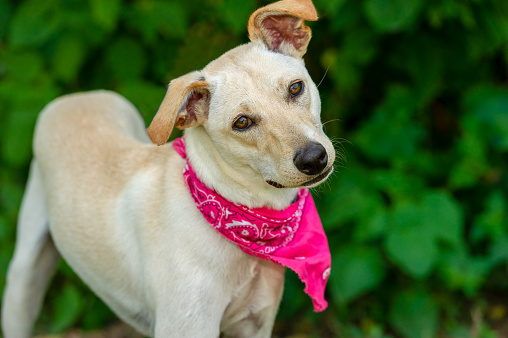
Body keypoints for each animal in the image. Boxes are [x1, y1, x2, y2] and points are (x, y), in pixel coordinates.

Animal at [1, 0, 336, 336]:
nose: (313, 158)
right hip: (22, 284)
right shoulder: (188, 325)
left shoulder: (255, 324)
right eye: (242, 123)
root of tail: (77, 96)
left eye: (296, 88)